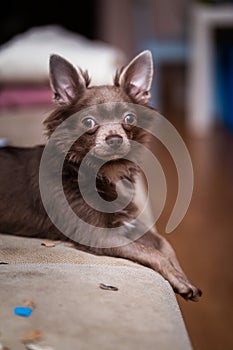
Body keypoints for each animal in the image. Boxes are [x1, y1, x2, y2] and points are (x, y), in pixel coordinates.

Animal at [0, 50, 202, 300]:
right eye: (88, 122)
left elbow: (163, 243)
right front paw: (177, 278)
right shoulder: (98, 236)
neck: (102, 172)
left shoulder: (125, 222)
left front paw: (182, 277)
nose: (114, 139)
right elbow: (151, 252)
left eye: (129, 119)